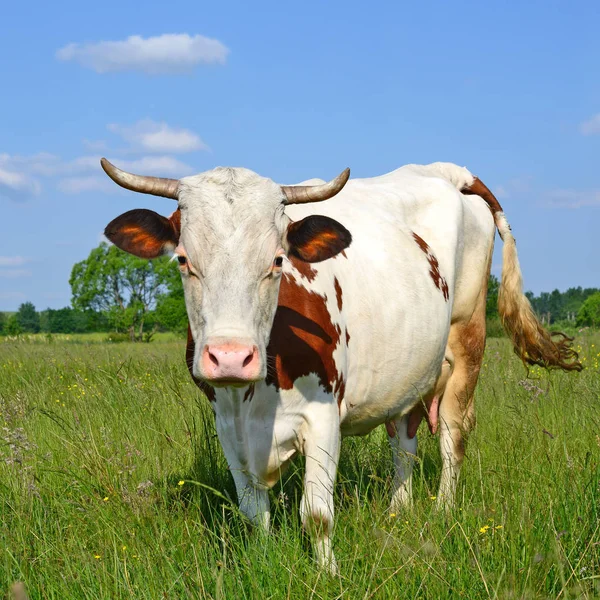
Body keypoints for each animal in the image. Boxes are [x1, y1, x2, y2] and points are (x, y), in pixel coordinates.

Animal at [99, 158, 580, 572]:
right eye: (183, 260)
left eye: (278, 260)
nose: (231, 357)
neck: (253, 400)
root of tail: (448, 170)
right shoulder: (226, 421)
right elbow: (253, 512)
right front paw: (264, 563)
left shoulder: (323, 416)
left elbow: (316, 514)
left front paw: (327, 574)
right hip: (407, 372)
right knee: (403, 442)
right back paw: (398, 511)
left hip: (467, 344)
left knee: (452, 438)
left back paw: (443, 512)